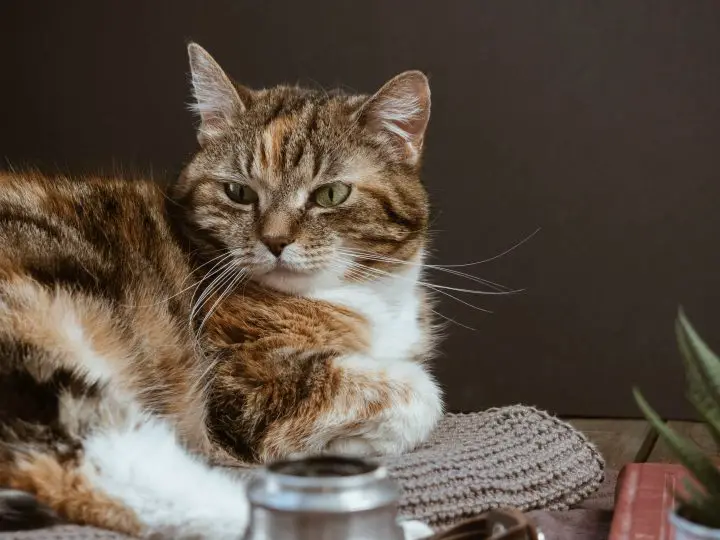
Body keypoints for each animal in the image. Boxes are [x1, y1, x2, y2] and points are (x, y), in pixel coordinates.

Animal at [0, 43, 438, 540]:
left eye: (330, 195)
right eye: (238, 192)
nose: (275, 240)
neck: (365, 296)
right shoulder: (244, 382)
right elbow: (420, 393)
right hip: (37, 350)